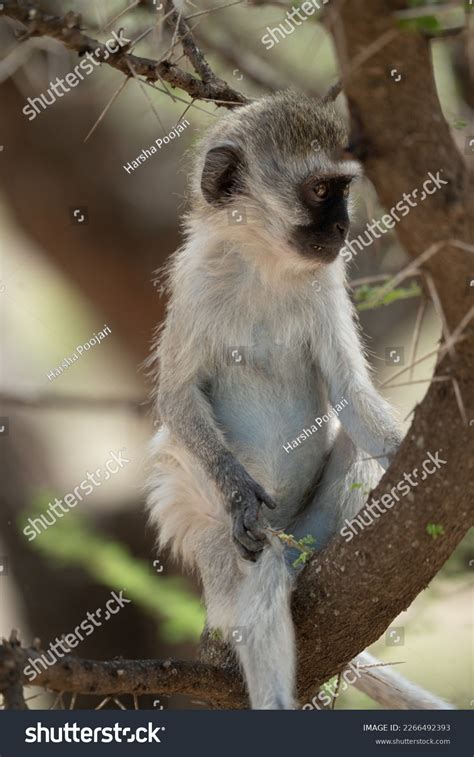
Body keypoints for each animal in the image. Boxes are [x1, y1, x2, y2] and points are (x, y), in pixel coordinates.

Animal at [148, 93, 452, 708]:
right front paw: (238, 489)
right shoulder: (194, 281)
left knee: (352, 454)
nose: (343, 225)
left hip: (307, 533)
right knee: (258, 563)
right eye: (318, 190)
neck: (264, 261)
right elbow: (177, 397)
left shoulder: (327, 281)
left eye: (343, 188)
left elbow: (350, 392)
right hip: (219, 549)